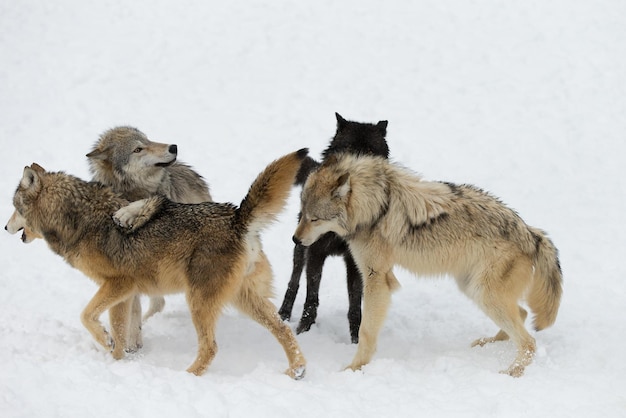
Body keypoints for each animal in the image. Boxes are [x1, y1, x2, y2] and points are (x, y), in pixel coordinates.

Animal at [276, 112, 386, 342]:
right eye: (348, 150)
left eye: (370, 153)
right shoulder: (315, 252)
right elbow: (311, 297)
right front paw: (304, 330)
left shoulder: (355, 261)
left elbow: (355, 304)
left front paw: (355, 338)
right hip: (300, 247)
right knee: (294, 280)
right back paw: (284, 314)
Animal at [292, 152, 560, 378]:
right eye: (302, 214)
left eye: (314, 219)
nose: (295, 239)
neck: (377, 206)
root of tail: (531, 233)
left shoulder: (376, 278)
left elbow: (365, 331)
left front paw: (354, 368)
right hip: (473, 289)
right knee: (522, 314)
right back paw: (488, 344)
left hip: (484, 294)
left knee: (529, 342)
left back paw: (511, 372)